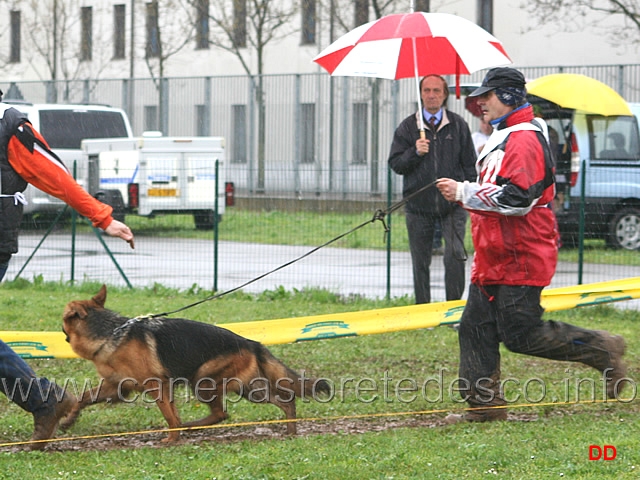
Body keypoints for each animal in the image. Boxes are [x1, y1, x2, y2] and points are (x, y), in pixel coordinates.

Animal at [59, 284, 330, 442]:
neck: (110, 333)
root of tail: (251, 342)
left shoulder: (157, 386)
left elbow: (170, 417)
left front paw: (172, 440)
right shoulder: (116, 386)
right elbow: (83, 397)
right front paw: (69, 420)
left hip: (204, 381)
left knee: (223, 412)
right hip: (245, 388)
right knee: (280, 402)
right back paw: (290, 431)